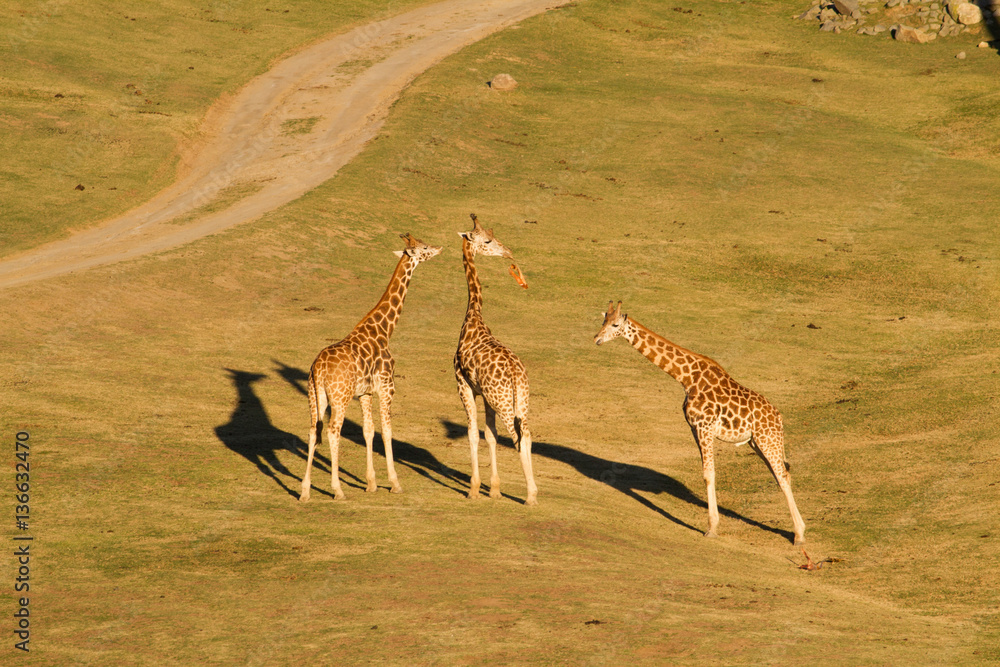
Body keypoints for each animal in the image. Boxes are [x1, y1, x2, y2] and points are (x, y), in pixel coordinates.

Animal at [299, 233, 441, 502]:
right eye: (425, 247)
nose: (439, 248)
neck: (385, 330)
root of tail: (318, 369)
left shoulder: (364, 393)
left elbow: (368, 430)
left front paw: (371, 483)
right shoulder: (387, 386)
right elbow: (386, 430)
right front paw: (394, 483)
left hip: (315, 395)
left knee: (313, 431)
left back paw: (304, 491)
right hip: (339, 397)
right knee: (333, 431)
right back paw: (338, 490)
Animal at [454, 214, 537, 505]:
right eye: (488, 240)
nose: (508, 252)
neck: (473, 317)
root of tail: (514, 372)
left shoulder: (463, 384)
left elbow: (473, 434)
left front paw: (474, 489)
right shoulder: (484, 394)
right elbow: (490, 436)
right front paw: (495, 489)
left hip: (502, 400)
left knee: (518, 437)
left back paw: (531, 496)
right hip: (520, 398)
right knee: (527, 435)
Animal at [594, 301, 805, 544]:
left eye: (615, 325)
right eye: (603, 321)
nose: (596, 338)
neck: (686, 378)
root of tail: (779, 418)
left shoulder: (705, 426)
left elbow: (708, 474)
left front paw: (712, 528)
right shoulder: (694, 428)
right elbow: (707, 472)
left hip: (767, 440)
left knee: (782, 475)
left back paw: (799, 535)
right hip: (757, 443)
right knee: (782, 475)